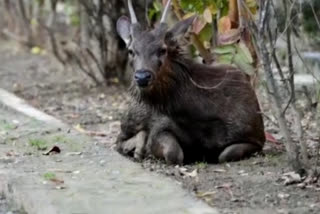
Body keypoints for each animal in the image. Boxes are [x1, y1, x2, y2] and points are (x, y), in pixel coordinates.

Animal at [115, 0, 264, 164]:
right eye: (130, 51)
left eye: (163, 50)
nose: (142, 76)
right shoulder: (159, 127)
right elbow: (173, 153)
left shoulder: (256, 138)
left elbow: (225, 155)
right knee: (119, 140)